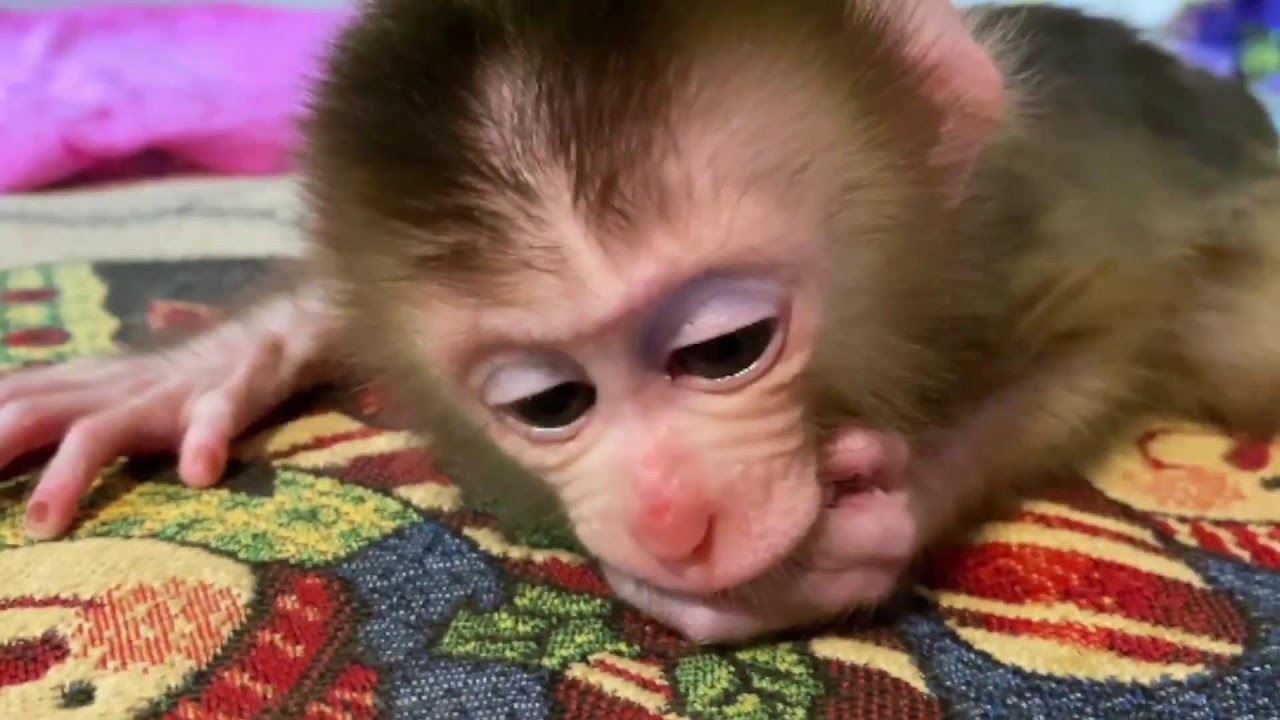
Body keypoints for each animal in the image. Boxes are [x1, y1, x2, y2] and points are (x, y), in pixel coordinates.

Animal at [3, 0, 1280, 644]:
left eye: (723, 350)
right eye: (549, 402)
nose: (672, 518)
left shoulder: (1067, 201)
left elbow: (1102, 351)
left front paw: (874, 527)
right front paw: (193, 367)